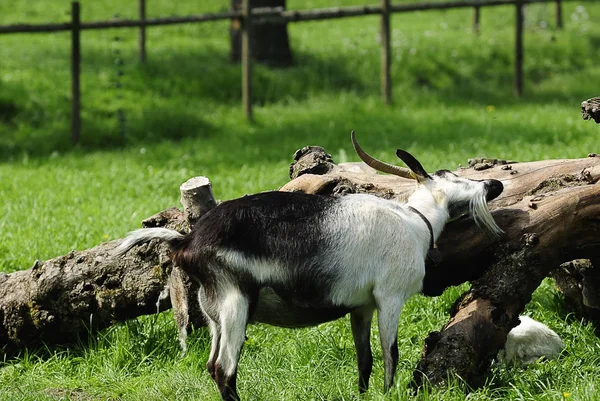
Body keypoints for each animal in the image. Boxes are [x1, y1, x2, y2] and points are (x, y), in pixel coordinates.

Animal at [115, 133, 504, 398]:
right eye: (454, 176)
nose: (495, 183)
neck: (415, 221)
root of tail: (187, 242)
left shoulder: (361, 307)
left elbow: (365, 359)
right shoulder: (389, 297)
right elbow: (390, 354)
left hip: (212, 314)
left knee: (211, 366)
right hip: (234, 302)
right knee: (224, 369)